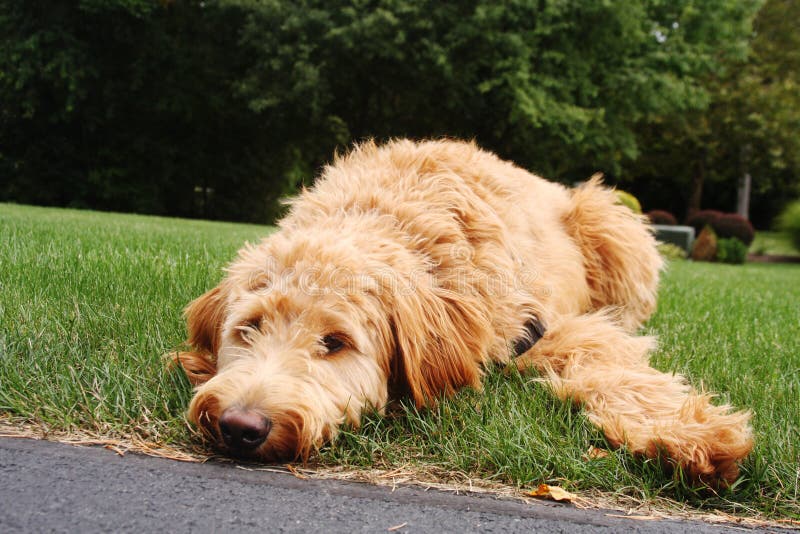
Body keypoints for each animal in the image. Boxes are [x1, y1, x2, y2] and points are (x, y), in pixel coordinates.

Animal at [172, 138, 752, 486]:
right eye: (248, 328)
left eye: (334, 342)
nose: (240, 426)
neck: (389, 219)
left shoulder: (544, 326)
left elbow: (611, 366)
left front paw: (692, 437)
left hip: (613, 224)